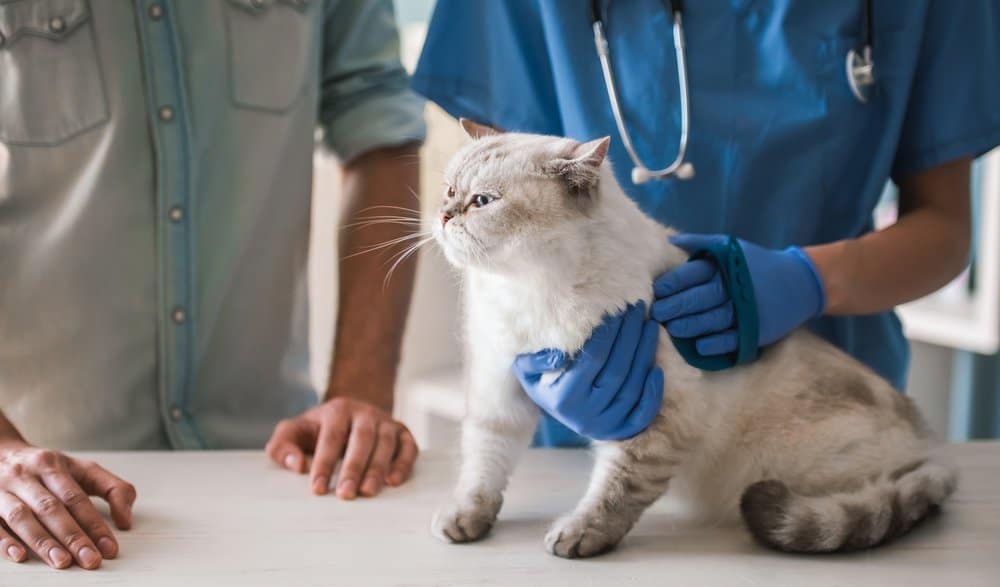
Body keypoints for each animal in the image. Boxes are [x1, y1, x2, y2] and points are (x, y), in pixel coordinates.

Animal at [426, 118, 956, 560]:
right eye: (450, 190)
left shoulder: (656, 417)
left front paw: (578, 538)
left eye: (483, 202)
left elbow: (614, 492)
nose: (444, 216)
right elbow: (483, 467)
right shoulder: (502, 388)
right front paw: (465, 521)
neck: (529, 290)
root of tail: (928, 448)